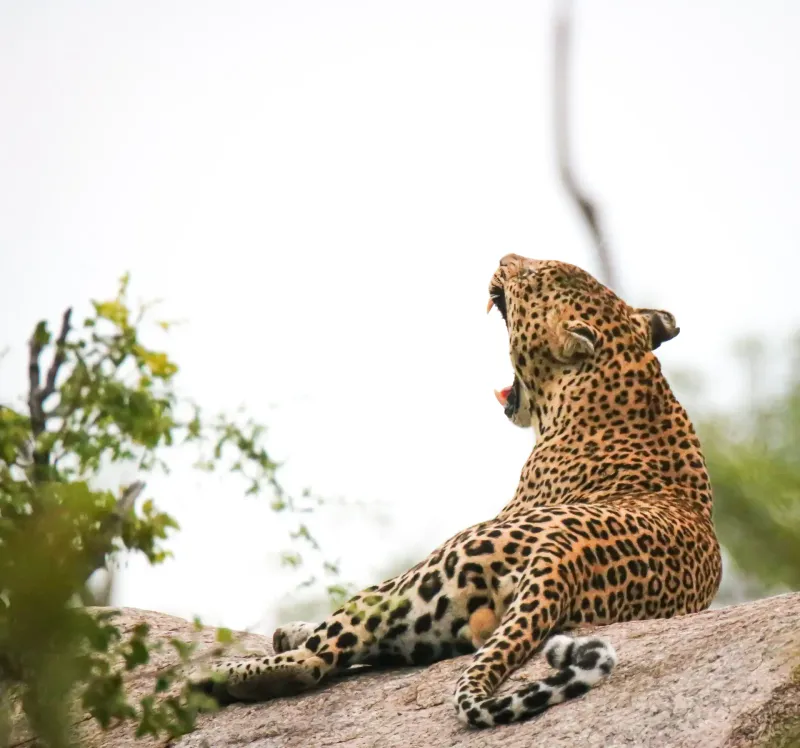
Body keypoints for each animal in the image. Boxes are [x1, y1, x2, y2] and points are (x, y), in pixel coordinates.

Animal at [191, 254, 722, 728]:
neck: (628, 379)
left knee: (321, 656)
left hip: (426, 573)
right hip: (436, 626)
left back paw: (214, 676)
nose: (506, 256)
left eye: (534, 272)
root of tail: (563, 562)